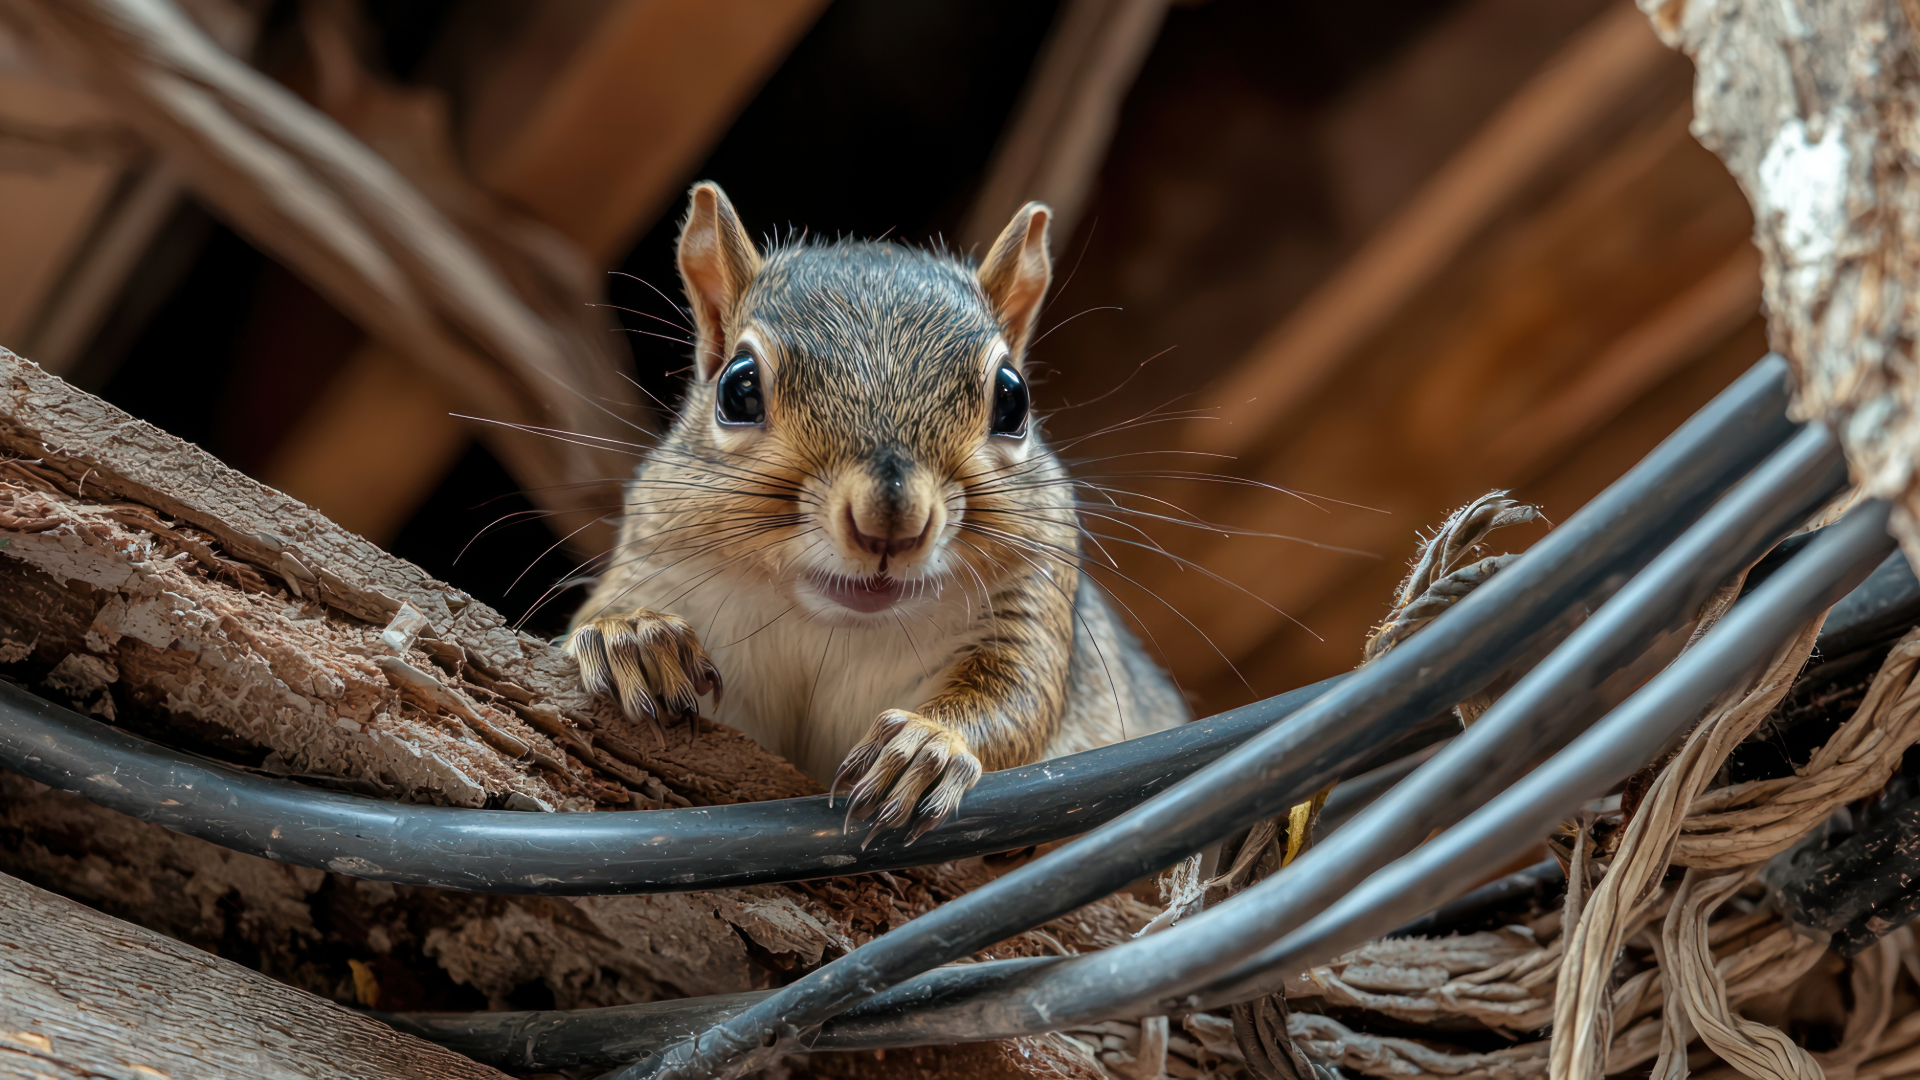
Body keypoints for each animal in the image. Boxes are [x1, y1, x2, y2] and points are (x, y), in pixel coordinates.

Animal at [567, 181, 1190, 843]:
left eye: (1014, 399)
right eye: (738, 389)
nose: (891, 522)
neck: (831, 624)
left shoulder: (1029, 600)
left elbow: (1016, 695)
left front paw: (926, 745)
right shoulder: (661, 560)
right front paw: (633, 635)